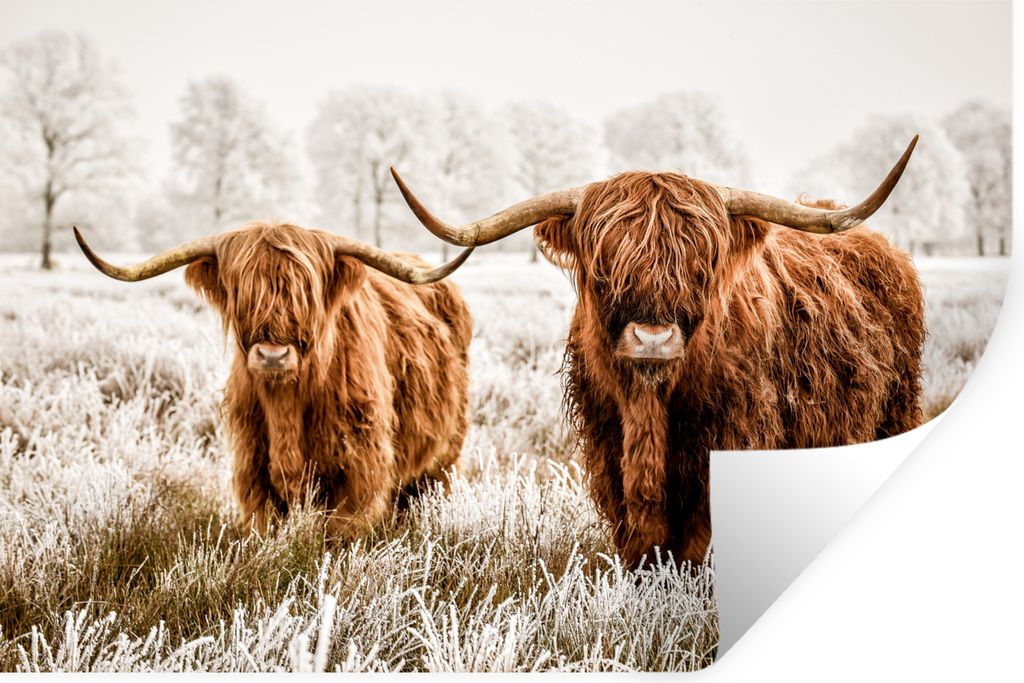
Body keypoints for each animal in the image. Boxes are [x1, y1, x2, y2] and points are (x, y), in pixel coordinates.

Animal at [75, 223, 474, 538]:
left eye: (305, 294)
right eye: (242, 293)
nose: (272, 355)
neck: (287, 405)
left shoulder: (360, 469)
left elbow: (341, 534)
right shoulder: (253, 469)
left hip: (443, 458)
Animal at [389, 136, 925, 568]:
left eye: (700, 265)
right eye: (604, 267)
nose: (652, 339)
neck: (649, 406)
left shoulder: (729, 444)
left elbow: (698, 539)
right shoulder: (608, 446)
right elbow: (641, 539)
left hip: (895, 411)